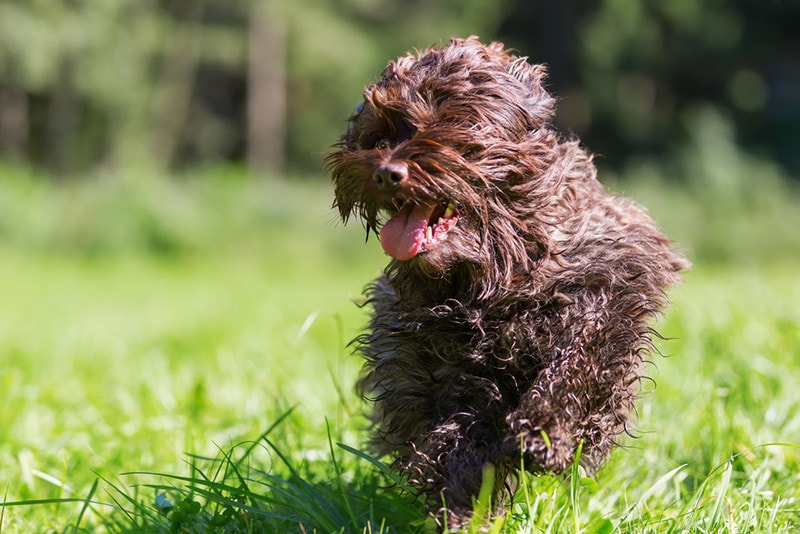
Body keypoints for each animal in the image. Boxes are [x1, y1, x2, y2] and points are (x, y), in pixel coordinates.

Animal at [324, 37, 688, 528]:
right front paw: (461, 510)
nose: (384, 172)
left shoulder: (610, 293)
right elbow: (453, 444)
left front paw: (544, 432)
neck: (493, 274)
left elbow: (575, 364)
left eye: (452, 128)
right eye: (379, 138)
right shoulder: (431, 369)